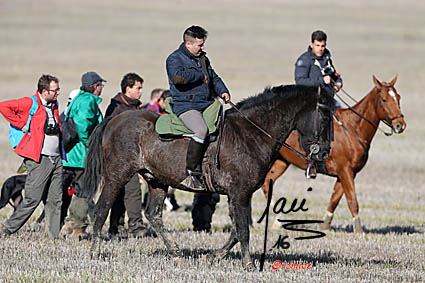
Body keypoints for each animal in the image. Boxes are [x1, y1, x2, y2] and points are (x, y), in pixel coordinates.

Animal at [83, 84, 334, 270]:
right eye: (324, 115)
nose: (324, 152)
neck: (252, 134)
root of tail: (115, 120)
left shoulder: (237, 195)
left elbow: (236, 230)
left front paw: (214, 256)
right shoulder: (240, 193)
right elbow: (242, 229)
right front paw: (249, 264)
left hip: (157, 180)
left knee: (153, 214)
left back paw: (175, 252)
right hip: (117, 176)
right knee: (102, 209)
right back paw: (95, 252)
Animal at [262, 75, 404, 233]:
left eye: (398, 97)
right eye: (384, 99)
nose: (400, 125)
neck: (354, 128)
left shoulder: (347, 173)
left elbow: (335, 199)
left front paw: (324, 225)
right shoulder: (345, 172)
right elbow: (352, 200)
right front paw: (359, 231)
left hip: (281, 161)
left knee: (267, 183)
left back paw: (277, 221)